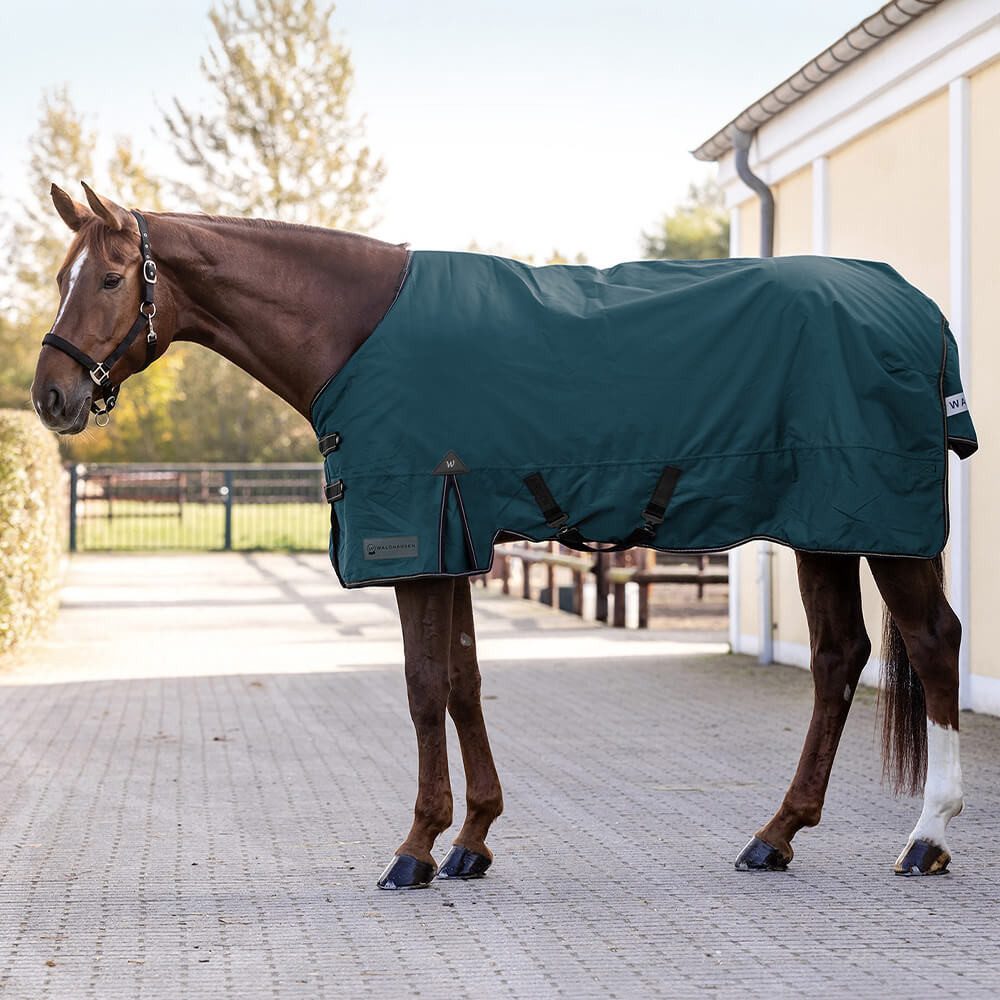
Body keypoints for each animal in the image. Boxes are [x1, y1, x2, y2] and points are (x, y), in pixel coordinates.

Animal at [30, 182, 968, 887]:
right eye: (60, 276)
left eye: (109, 278)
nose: (50, 397)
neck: (355, 327)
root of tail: (914, 307)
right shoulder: (456, 543)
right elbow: (465, 683)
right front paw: (472, 840)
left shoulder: (415, 538)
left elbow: (422, 688)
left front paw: (415, 849)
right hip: (826, 528)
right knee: (839, 659)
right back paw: (776, 835)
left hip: (886, 529)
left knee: (932, 643)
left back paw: (927, 836)